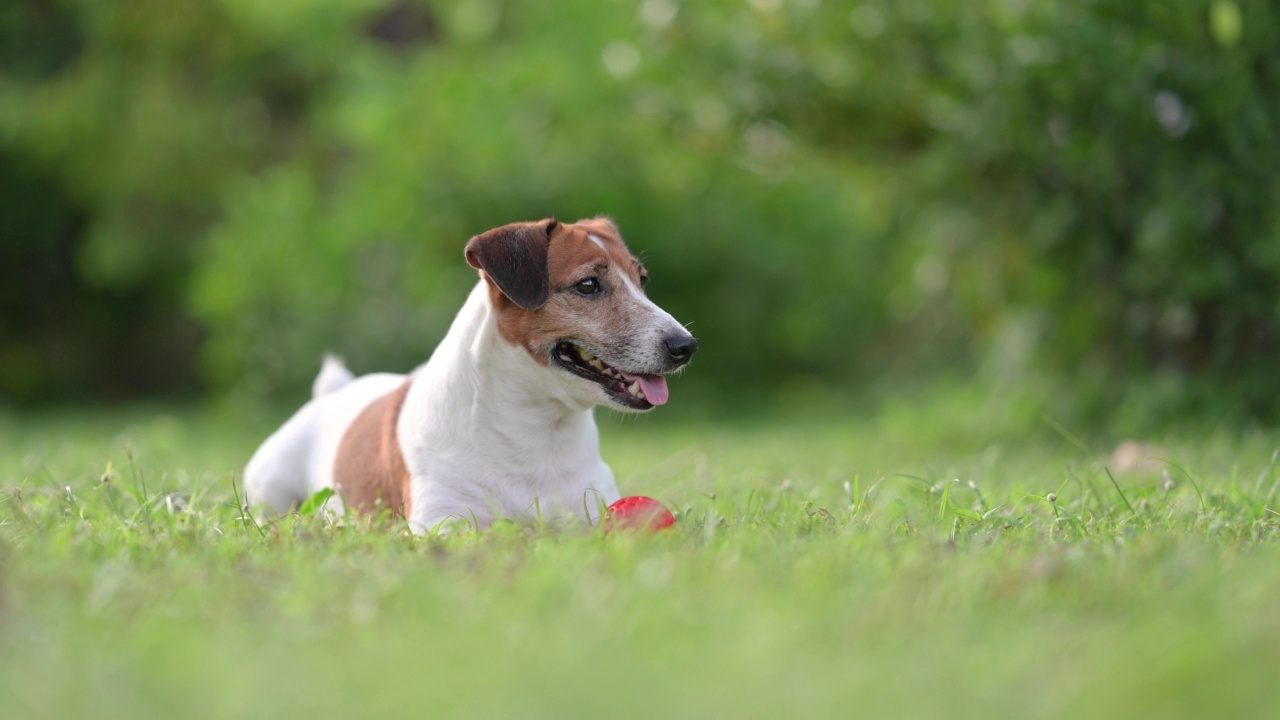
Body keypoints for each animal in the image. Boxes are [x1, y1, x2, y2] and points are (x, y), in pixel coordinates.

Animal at [240, 215, 701, 530]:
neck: (535, 433)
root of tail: (334, 392)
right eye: (588, 285)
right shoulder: (440, 522)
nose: (686, 346)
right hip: (271, 488)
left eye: (642, 280)